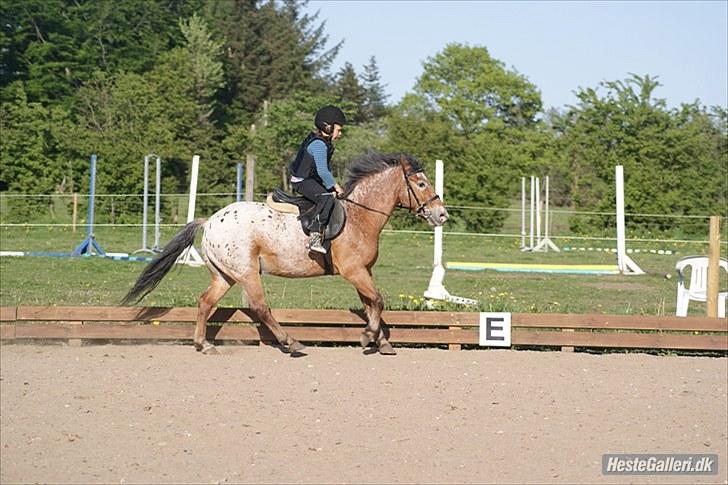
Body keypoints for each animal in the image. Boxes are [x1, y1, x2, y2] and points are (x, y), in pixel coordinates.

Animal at [122, 153, 446, 354]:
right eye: (421, 183)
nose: (441, 214)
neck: (360, 216)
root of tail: (211, 220)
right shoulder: (353, 271)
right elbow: (377, 300)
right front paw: (369, 337)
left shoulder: (363, 271)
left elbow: (371, 304)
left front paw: (380, 342)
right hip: (247, 272)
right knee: (260, 307)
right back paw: (290, 342)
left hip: (226, 275)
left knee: (205, 302)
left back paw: (204, 344)